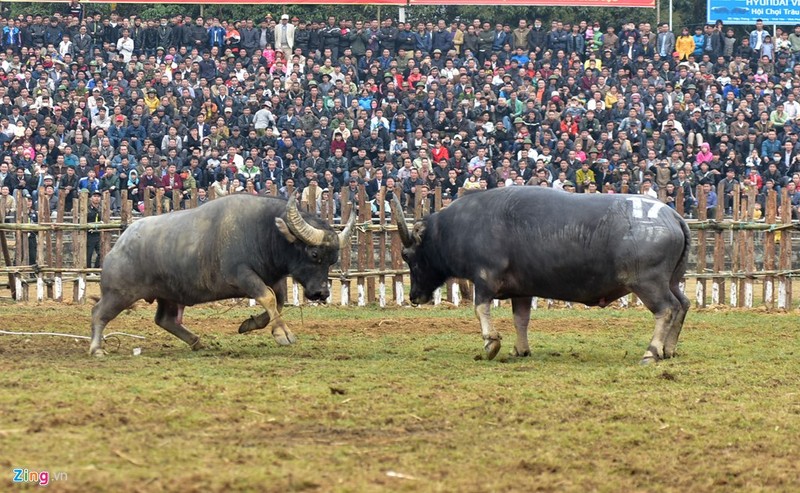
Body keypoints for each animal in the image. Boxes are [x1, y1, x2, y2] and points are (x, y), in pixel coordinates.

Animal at [90, 194, 354, 356]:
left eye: (333, 259)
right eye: (314, 254)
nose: (322, 292)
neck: (264, 232)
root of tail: (119, 243)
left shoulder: (274, 278)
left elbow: (277, 302)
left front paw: (249, 324)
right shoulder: (242, 276)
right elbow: (268, 298)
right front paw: (283, 334)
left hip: (168, 294)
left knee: (165, 319)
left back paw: (197, 341)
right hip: (119, 293)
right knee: (99, 313)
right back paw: (96, 348)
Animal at [390, 186, 692, 364]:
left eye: (407, 255)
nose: (414, 296)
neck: (460, 227)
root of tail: (673, 217)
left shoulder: (485, 278)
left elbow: (480, 309)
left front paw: (491, 343)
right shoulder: (522, 290)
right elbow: (521, 319)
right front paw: (520, 349)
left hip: (647, 283)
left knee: (666, 309)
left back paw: (651, 351)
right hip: (672, 281)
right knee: (682, 304)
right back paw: (669, 349)